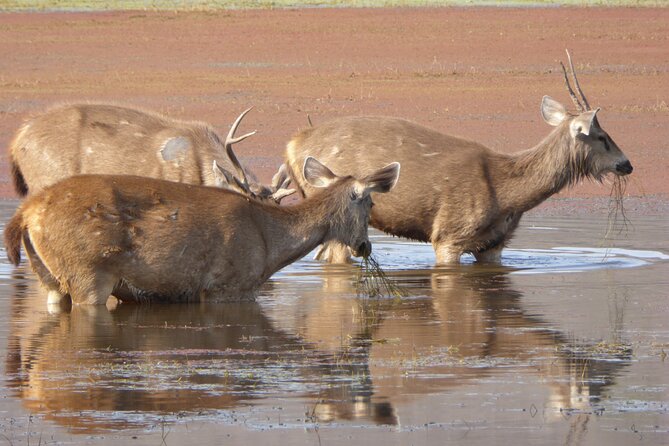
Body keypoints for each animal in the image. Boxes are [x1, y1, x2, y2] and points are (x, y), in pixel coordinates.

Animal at [2, 158, 400, 306]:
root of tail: (26, 212)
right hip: (87, 270)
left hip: (50, 277)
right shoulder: (228, 284)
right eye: (369, 203)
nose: (365, 246)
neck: (269, 244)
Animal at [284, 51, 632, 264]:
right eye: (602, 137)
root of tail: (292, 144)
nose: (627, 164)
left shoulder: (493, 245)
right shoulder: (449, 234)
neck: (508, 195)